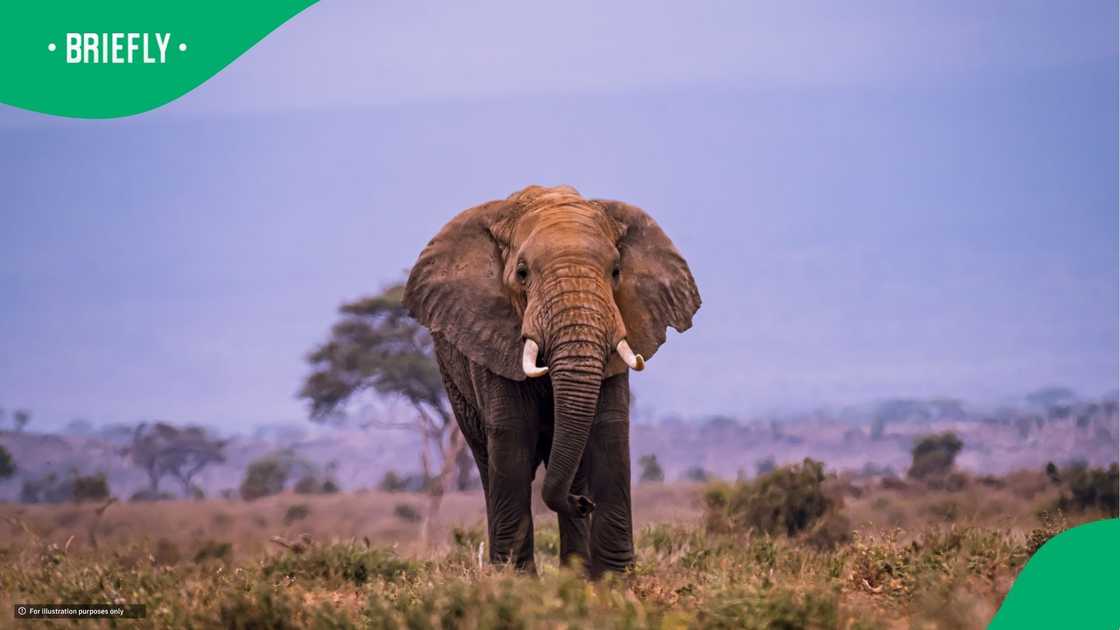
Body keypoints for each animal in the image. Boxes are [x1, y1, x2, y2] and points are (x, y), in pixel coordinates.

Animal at [403, 185, 700, 576]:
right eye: (522, 273)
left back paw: (576, 572)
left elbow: (609, 431)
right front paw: (514, 581)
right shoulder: (491, 334)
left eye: (616, 271)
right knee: (487, 463)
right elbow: (511, 437)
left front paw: (615, 581)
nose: (584, 503)